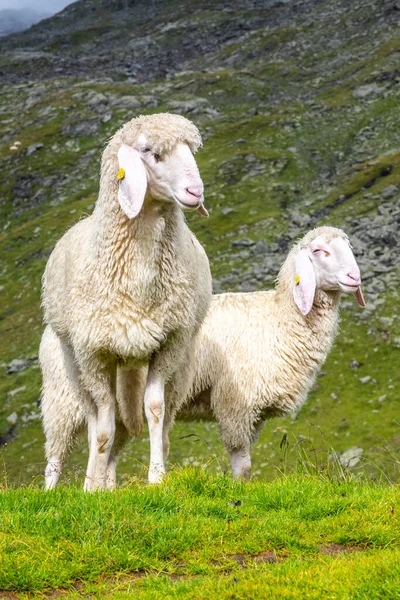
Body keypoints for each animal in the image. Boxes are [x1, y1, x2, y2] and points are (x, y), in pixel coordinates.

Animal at [40, 113, 212, 492]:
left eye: (191, 149)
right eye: (149, 151)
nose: (195, 192)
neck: (139, 281)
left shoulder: (170, 343)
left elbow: (155, 409)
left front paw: (157, 476)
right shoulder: (94, 352)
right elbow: (103, 426)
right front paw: (91, 490)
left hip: (166, 366)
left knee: (140, 424)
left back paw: (108, 482)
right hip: (72, 372)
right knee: (84, 428)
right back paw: (73, 486)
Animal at [177, 225, 366, 478]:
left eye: (349, 247)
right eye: (318, 250)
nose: (354, 277)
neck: (278, 319)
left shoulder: (255, 416)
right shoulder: (236, 405)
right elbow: (243, 466)